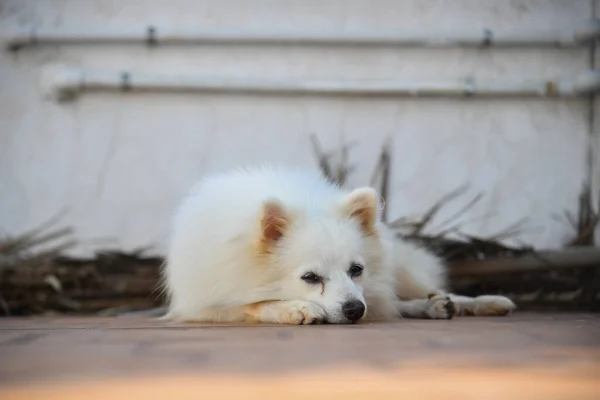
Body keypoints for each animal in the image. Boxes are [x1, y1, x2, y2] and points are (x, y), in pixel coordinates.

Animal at [162, 166, 512, 324]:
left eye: (356, 270)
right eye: (310, 278)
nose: (355, 309)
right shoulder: (203, 305)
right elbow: (254, 304)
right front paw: (294, 308)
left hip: (400, 271)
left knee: (408, 295)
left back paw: (471, 302)